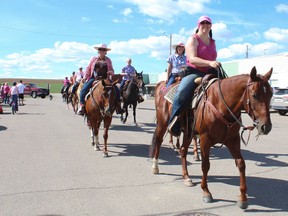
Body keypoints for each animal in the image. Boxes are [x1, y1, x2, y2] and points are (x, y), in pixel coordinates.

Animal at [150, 66, 274, 208]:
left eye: (271, 94)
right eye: (254, 95)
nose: (266, 127)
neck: (221, 104)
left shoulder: (233, 140)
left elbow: (241, 164)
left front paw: (243, 197)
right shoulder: (205, 139)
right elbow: (205, 165)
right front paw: (206, 192)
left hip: (188, 133)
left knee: (183, 150)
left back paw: (186, 177)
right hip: (163, 124)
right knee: (158, 141)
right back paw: (155, 167)